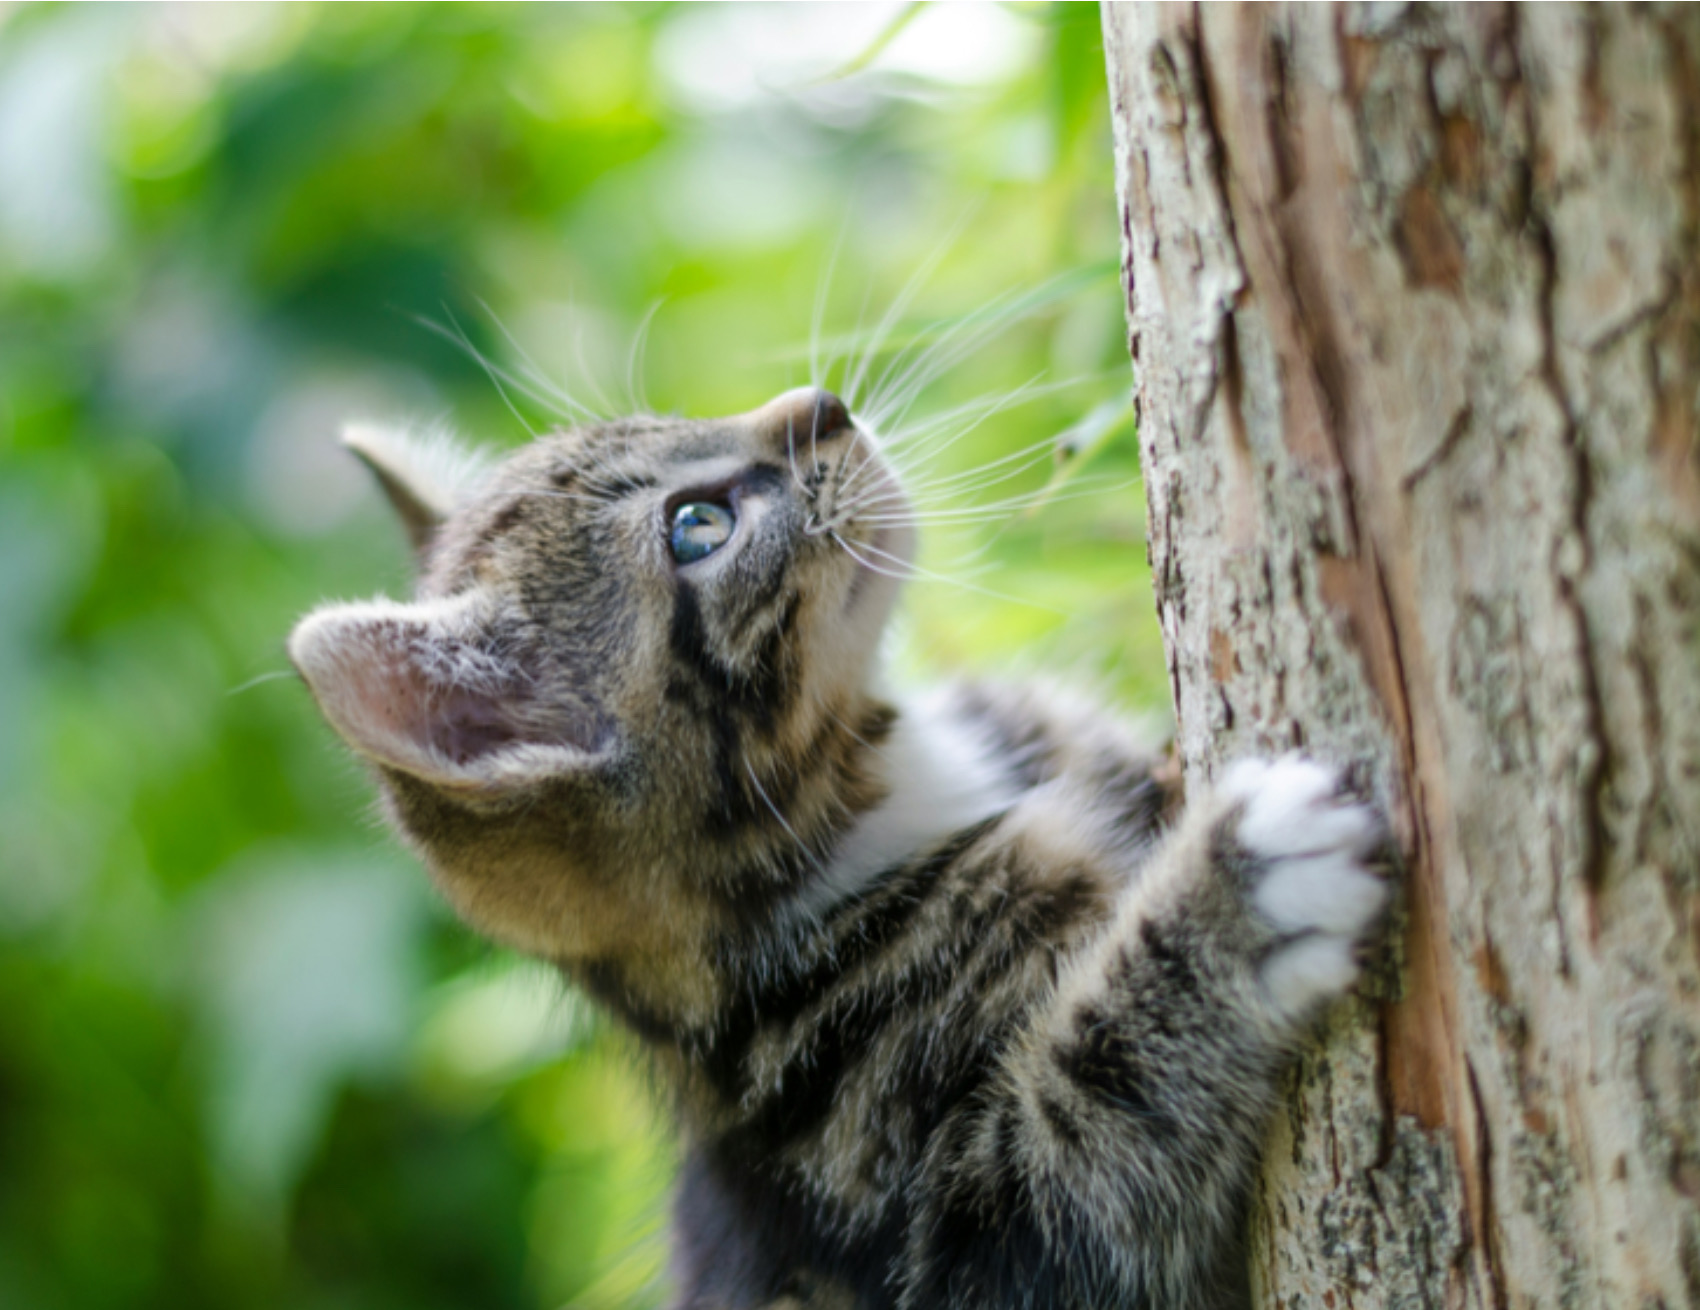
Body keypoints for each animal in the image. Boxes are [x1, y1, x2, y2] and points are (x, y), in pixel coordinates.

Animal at [289, 383, 1380, 1304]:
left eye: (672, 416)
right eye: (696, 527)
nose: (819, 404)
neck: (897, 786)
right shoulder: (946, 1233)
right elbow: (1088, 1132)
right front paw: (1239, 893)